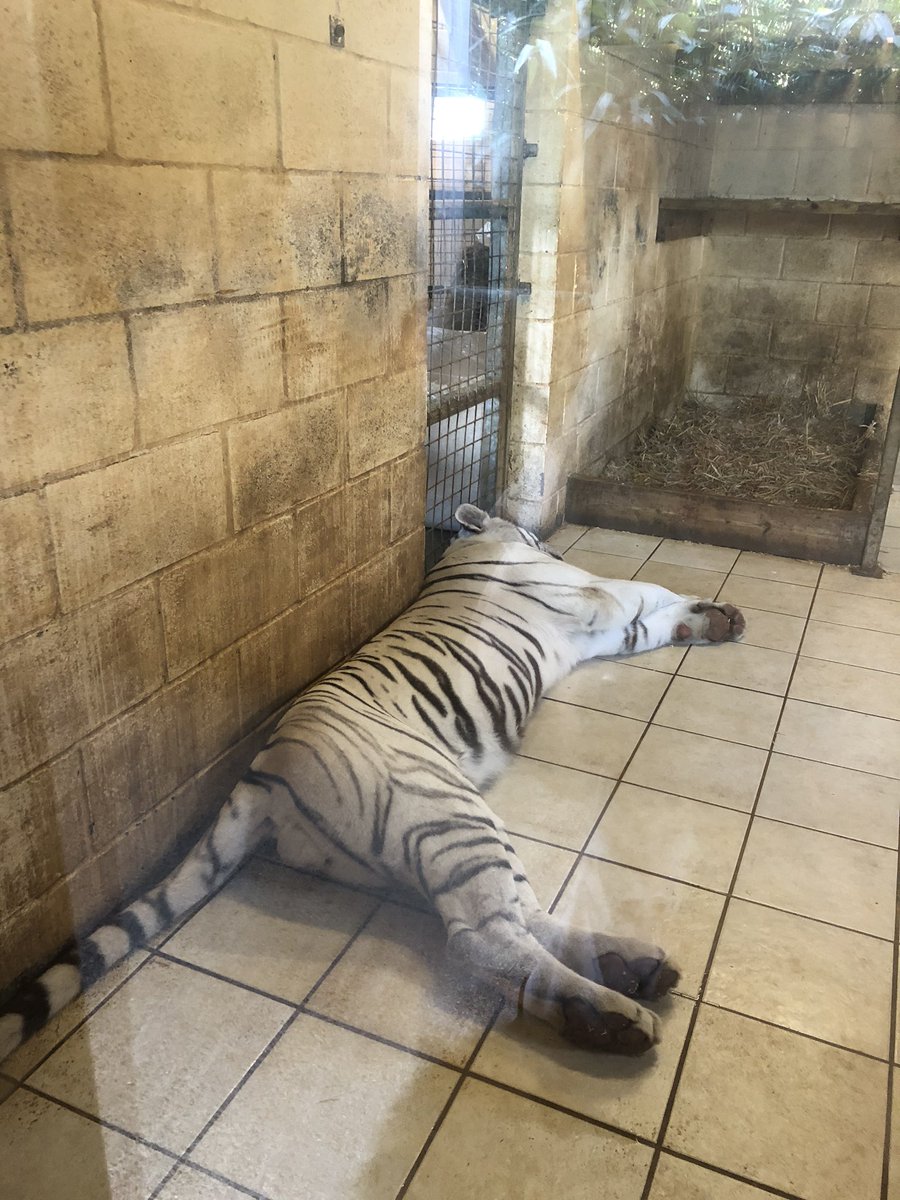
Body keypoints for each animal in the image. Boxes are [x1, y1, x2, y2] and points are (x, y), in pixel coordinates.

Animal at [0, 506, 748, 1060]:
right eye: (533, 535)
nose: (547, 539)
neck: (469, 546)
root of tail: (260, 772)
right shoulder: (598, 596)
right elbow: (645, 593)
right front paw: (713, 613)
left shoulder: (604, 628)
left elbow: (654, 620)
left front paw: (714, 621)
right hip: (448, 807)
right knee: (484, 935)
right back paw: (612, 1015)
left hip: (423, 837)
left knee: (519, 915)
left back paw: (628, 971)